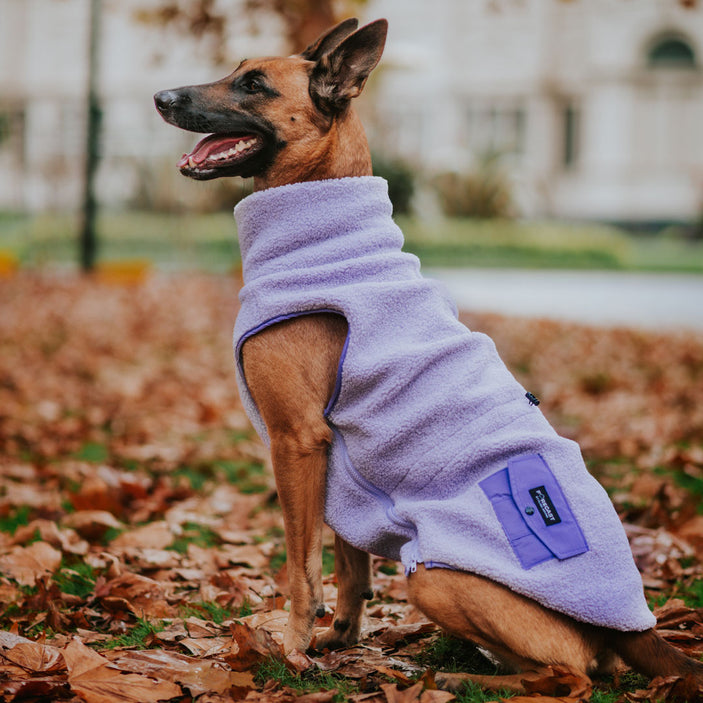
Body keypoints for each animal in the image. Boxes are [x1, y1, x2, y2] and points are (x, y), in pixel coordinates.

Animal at [155, 19, 703, 696]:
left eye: (253, 84)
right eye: (235, 70)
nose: (161, 98)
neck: (328, 233)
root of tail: (635, 627)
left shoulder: (297, 441)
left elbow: (302, 566)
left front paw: (291, 649)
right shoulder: (338, 461)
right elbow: (350, 566)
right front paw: (339, 639)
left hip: (435, 577)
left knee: (568, 674)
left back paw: (460, 678)